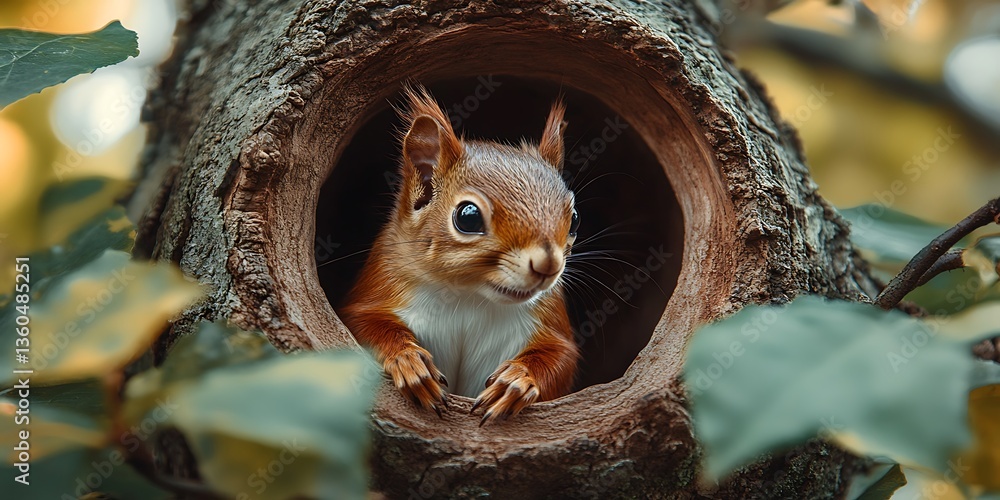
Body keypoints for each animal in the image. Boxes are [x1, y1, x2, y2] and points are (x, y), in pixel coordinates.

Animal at [340, 85, 580, 425]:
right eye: (468, 217)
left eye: (575, 219)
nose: (548, 265)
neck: (469, 296)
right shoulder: (381, 285)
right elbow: (365, 325)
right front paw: (408, 360)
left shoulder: (548, 317)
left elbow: (560, 357)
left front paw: (518, 381)